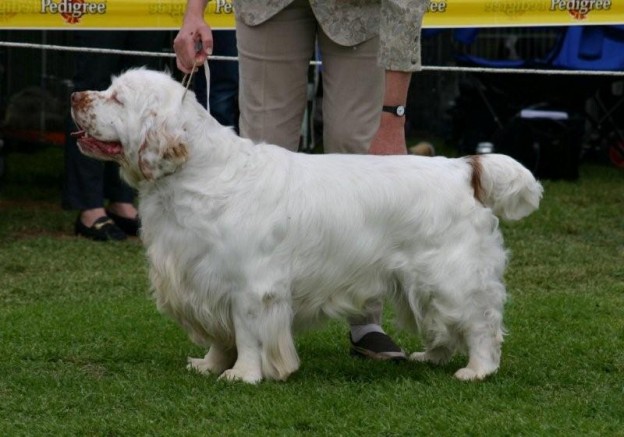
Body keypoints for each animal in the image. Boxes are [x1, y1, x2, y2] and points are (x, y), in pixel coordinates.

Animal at [70, 68, 544, 382]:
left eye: (118, 98)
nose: (75, 96)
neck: (199, 175)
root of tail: (463, 168)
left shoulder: (250, 287)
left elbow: (246, 334)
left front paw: (242, 374)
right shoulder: (205, 279)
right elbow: (221, 335)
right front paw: (209, 364)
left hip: (451, 277)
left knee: (481, 323)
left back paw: (477, 370)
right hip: (421, 282)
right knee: (443, 325)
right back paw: (431, 357)